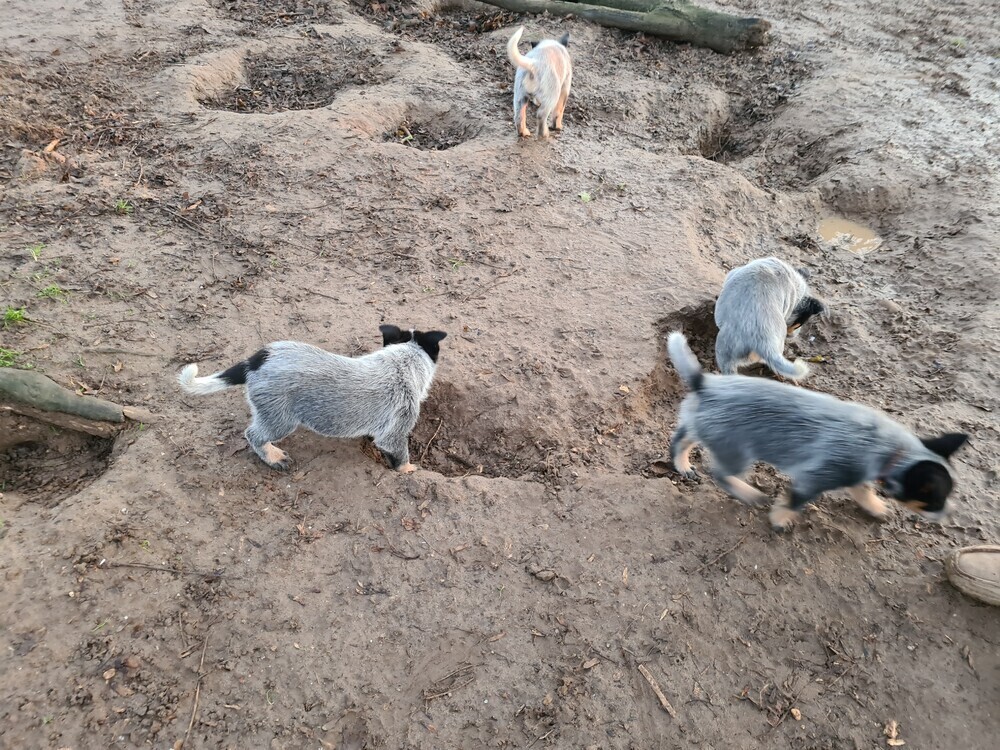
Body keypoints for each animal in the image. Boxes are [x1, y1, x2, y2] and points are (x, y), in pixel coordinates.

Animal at [177, 325, 446, 473]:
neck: (403, 362)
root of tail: (254, 361)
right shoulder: (396, 430)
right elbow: (401, 457)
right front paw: (408, 470)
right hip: (280, 419)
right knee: (254, 435)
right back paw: (274, 457)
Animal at [666, 332, 968, 531]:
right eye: (934, 500)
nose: (951, 514)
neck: (891, 450)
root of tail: (705, 384)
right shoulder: (815, 477)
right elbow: (795, 501)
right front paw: (779, 520)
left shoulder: (856, 475)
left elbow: (863, 491)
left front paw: (876, 507)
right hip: (736, 453)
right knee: (719, 473)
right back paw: (748, 493)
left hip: (703, 426)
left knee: (681, 439)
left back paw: (683, 465)